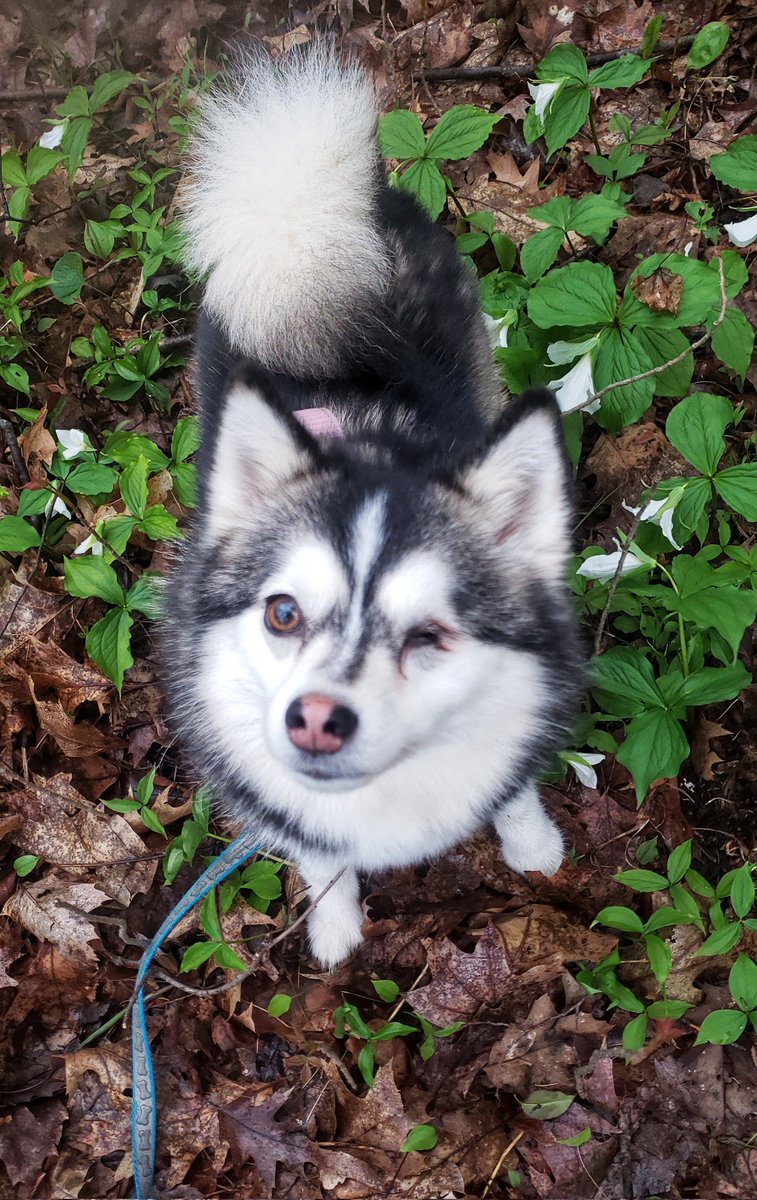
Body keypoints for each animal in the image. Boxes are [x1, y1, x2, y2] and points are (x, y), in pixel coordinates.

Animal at [164, 42, 580, 969]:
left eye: (430, 634)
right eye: (281, 613)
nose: (316, 720)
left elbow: (511, 786)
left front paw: (532, 844)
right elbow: (321, 856)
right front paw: (334, 926)